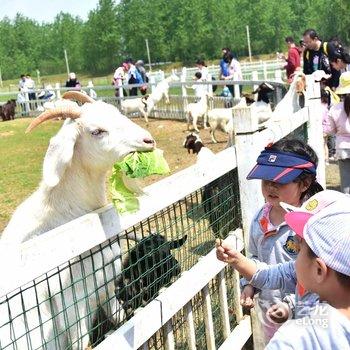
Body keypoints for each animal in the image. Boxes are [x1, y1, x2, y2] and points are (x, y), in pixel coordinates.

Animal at [0, 91, 156, 350]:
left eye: (116, 113)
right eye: (97, 131)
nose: (148, 140)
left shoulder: (105, 288)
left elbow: (122, 318)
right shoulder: (71, 306)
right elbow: (81, 343)